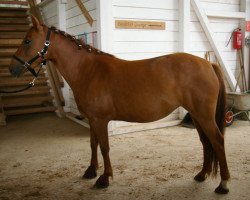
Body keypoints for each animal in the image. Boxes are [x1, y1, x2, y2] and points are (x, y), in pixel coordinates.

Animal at [11, 16, 230, 195]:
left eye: (27, 41)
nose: (12, 69)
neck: (88, 71)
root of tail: (208, 64)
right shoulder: (92, 120)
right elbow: (93, 145)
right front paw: (91, 171)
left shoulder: (100, 120)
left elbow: (104, 147)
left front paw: (104, 178)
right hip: (197, 115)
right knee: (206, 143)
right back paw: (201, 175)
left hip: (204, 116)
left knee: (218, 141)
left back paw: (223, 184)